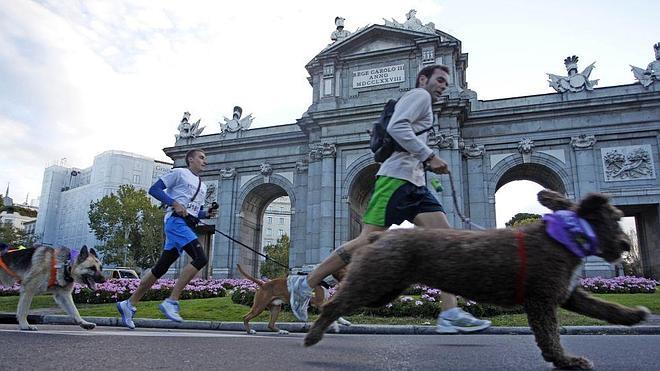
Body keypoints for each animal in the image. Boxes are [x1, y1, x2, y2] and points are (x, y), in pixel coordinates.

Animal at [304, 192, 648, 371]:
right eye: (614, 218)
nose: (625, 245)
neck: (562, 237)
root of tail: (379, 237)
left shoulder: (565, 293)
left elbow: (602, 307)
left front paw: (633, 315)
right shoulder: (541, 299)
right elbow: (550, 337)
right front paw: (566, 360)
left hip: (384, 289)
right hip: (375, 284)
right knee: (336, 302)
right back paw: (314, 331)